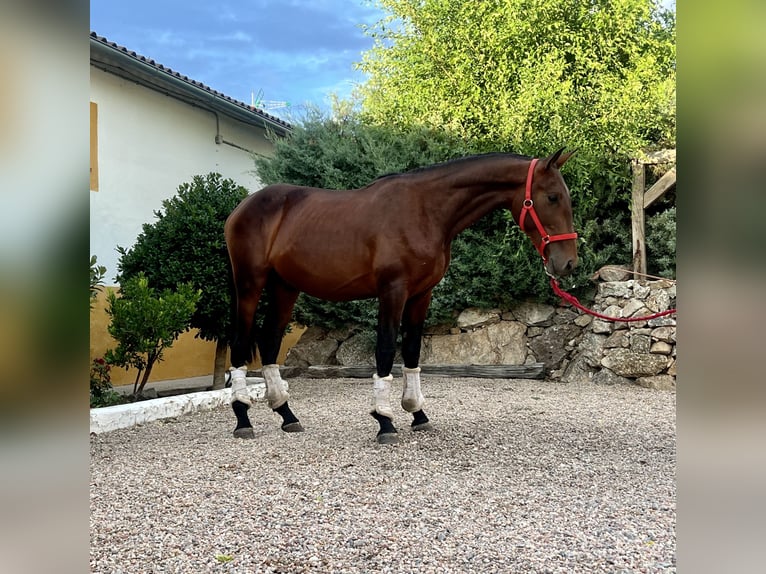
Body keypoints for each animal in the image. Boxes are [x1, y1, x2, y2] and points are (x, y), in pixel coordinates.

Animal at [225, 148, 580, 446]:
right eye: (552, 197)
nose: (568, 263)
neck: (425, 210)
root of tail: (241, 207)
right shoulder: (393, 291)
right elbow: (385, 349)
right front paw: (385, 421)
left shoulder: (422, 294)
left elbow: (411, 350)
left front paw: (417, 414)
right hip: (250, 284)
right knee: (240, 342)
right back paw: (242, 418)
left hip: (285, 287)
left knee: (270, 342)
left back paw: (287, 415)